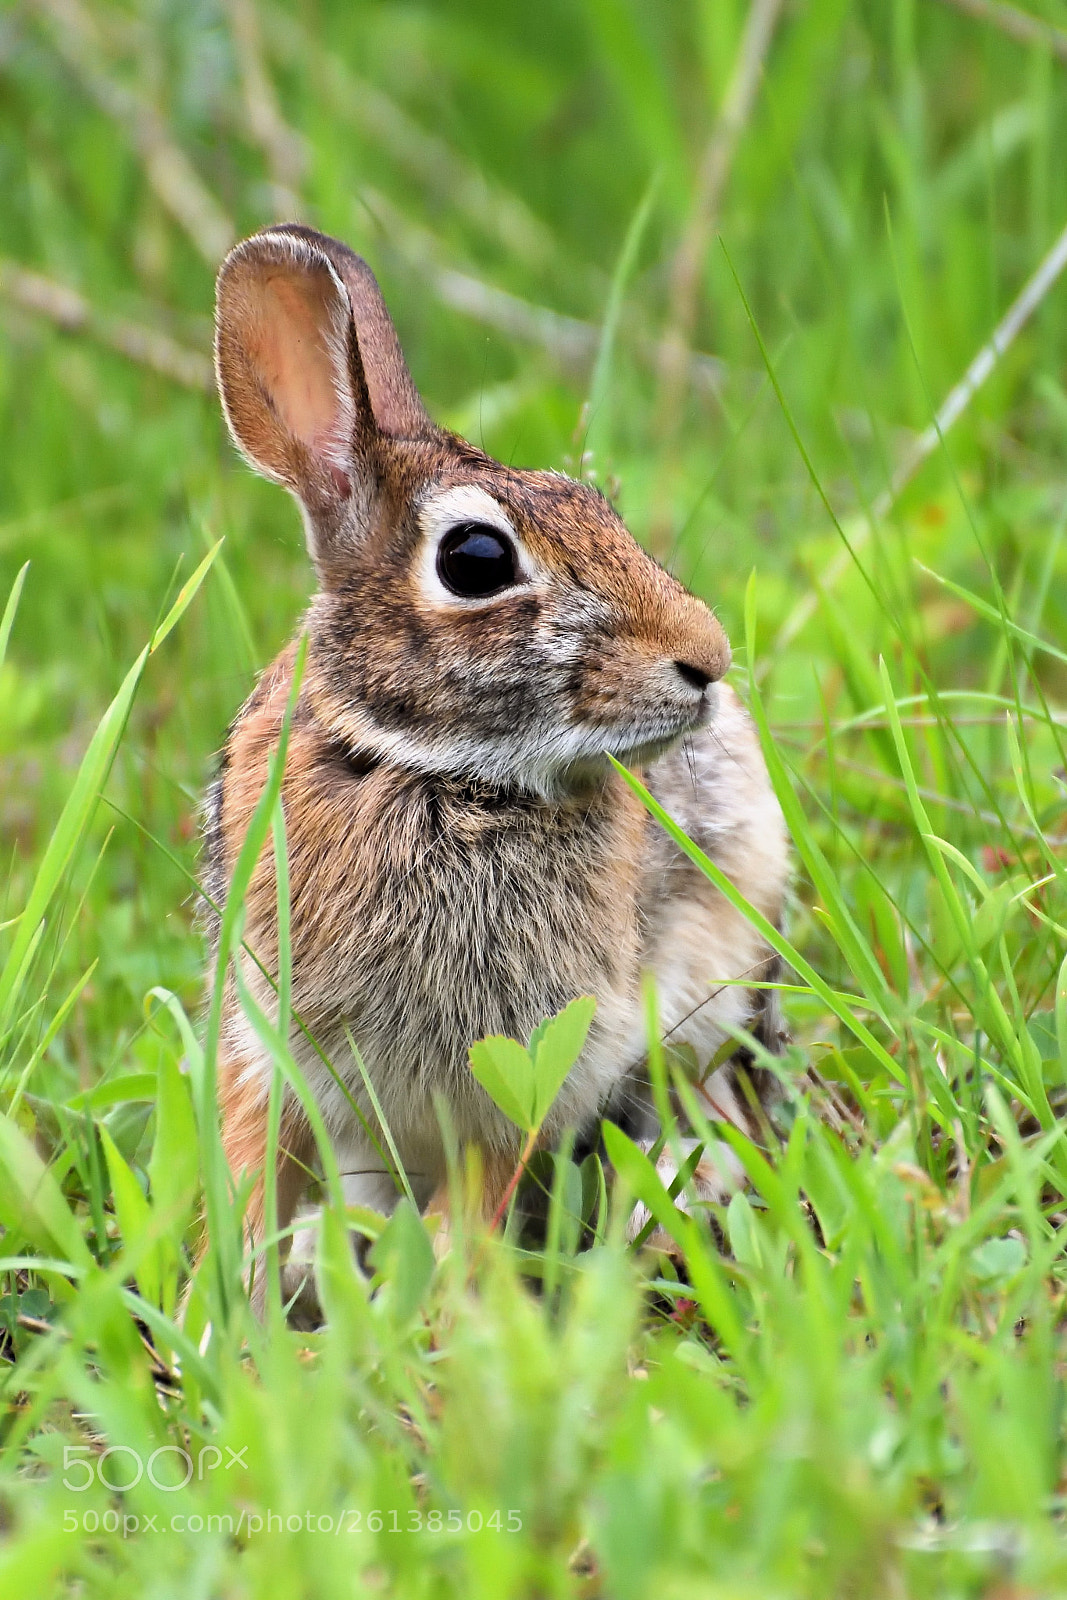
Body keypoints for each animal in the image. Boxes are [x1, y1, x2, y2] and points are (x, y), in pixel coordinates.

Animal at [203, 223, 789, 1314]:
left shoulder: (515, 1076)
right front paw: (238, 1310)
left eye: (597, 504)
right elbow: (250, 1178)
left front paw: (425, 1317)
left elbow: (464, 1211)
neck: (429, 767)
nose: (707, 658)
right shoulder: (263, 1047)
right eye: (474, 558)